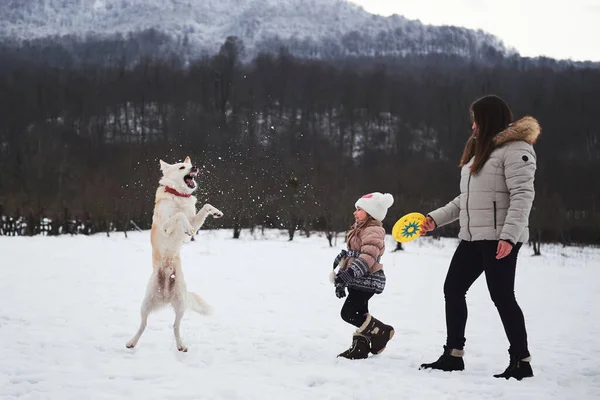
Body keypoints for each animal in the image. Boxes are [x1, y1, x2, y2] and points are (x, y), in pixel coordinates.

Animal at [126, 158, 223, 352]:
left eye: (191, 165)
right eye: (181, 167)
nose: (195, 167)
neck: (179, 195)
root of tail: (165, 296)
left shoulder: (194, 221)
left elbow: (204, 207)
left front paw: (216, 212)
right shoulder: (166, 225)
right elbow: (179, 215)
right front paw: (186, 226)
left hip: (180, 304)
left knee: (175, 326)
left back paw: (181, 346)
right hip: (146, 303)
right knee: (143, 324)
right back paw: (131, 342)